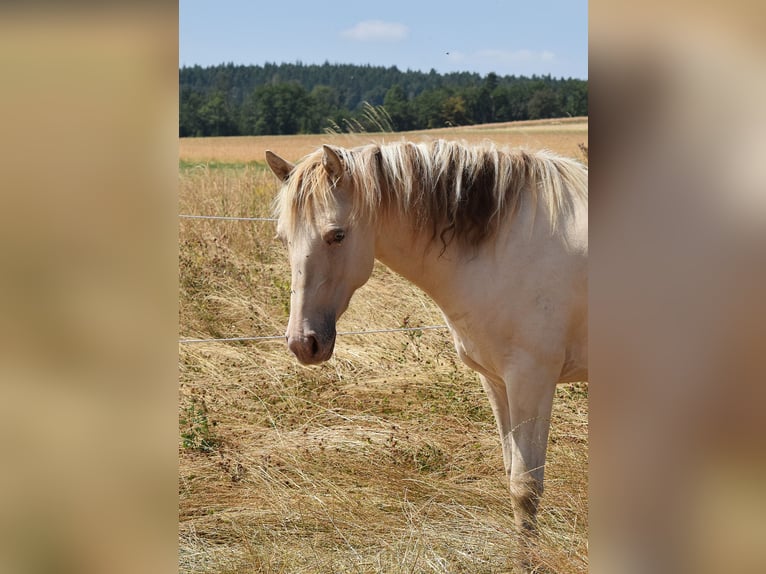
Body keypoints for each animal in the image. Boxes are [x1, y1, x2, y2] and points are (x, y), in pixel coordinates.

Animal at [265, 139, 587, 532]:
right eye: (283, 238)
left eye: (337, 235)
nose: (302, 343)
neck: (505, 245)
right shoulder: (497, 382)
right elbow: (512, 472)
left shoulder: (532, 381)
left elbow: (526, 489)